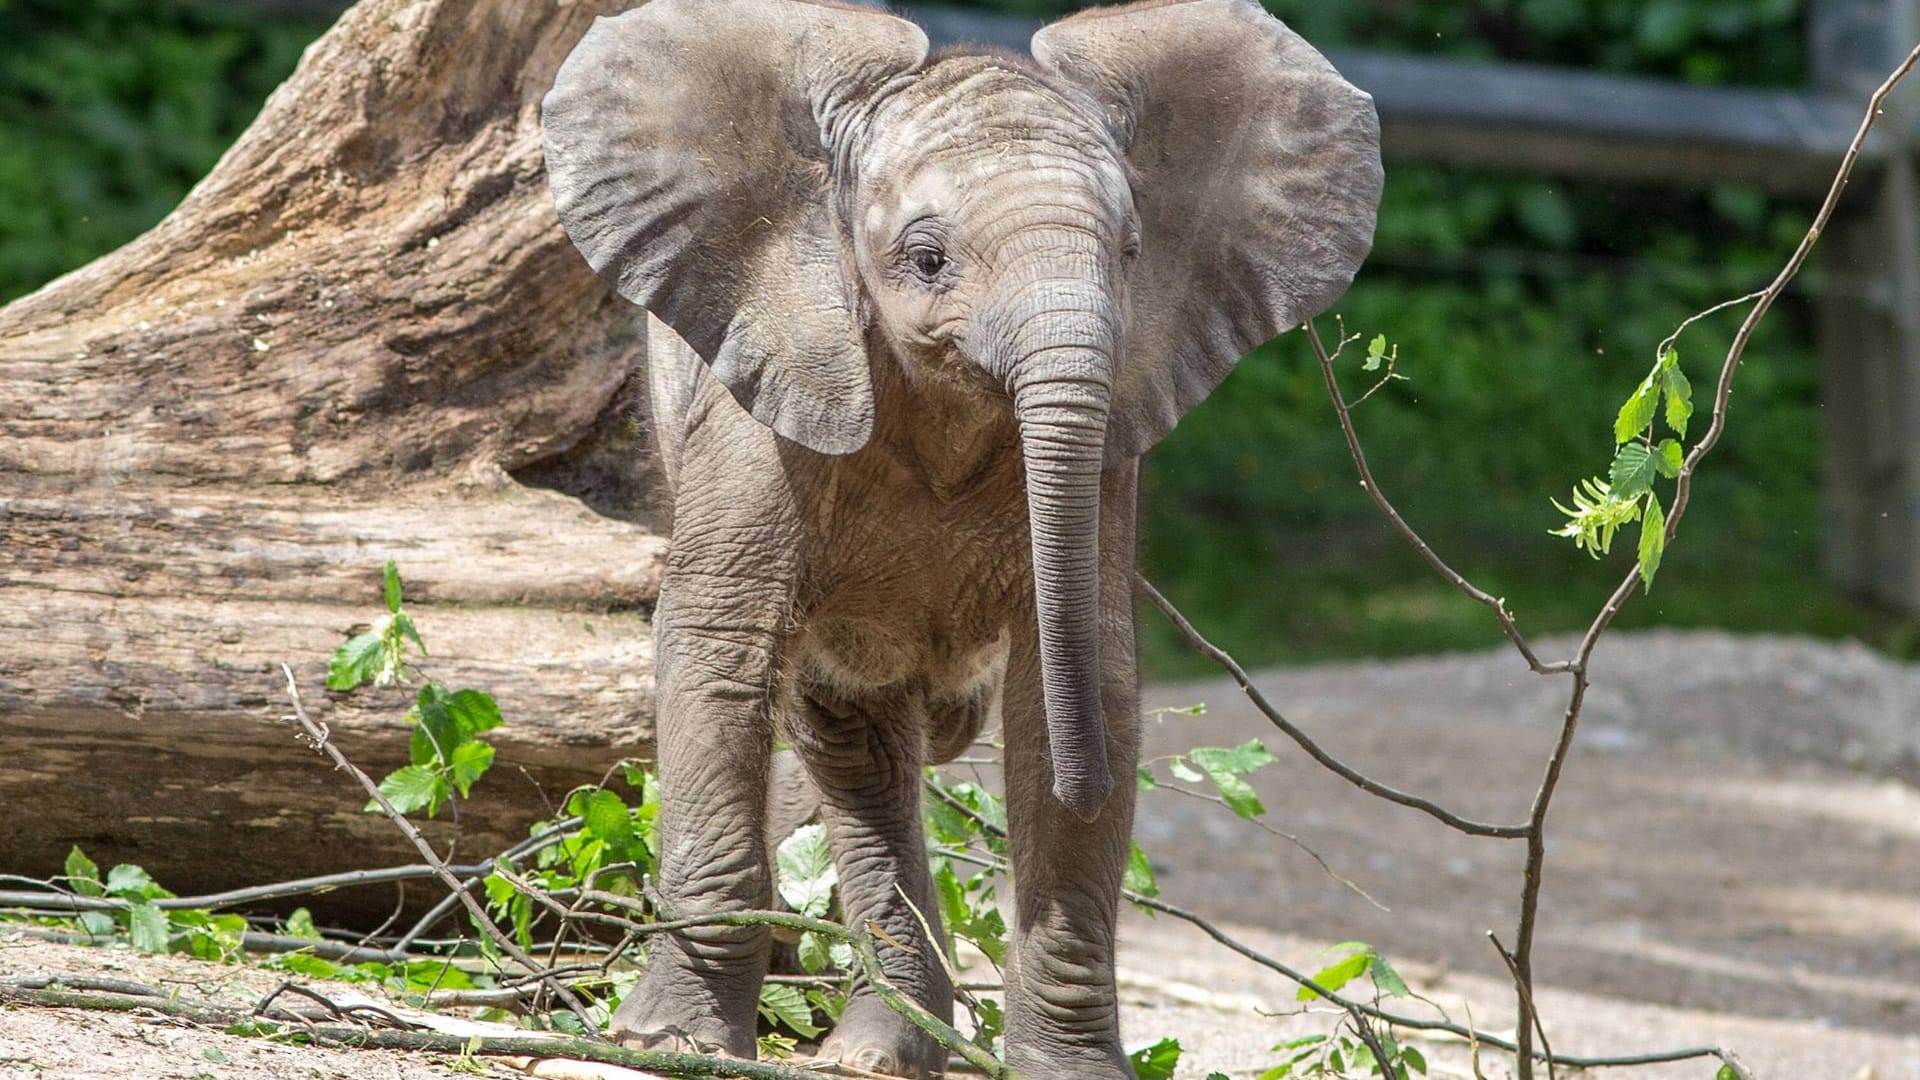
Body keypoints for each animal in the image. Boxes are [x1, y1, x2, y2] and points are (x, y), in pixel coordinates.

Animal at [549, 2, 1374, 1068]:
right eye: (927, 259)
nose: (1090, 785)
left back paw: (878, 1048)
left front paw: (1069, 1071)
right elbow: (717, 649)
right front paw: (671, 1043)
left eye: (1131, 252)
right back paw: (867, 1049)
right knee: (849, 738)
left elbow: (1081, 682)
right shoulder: (771, 391)